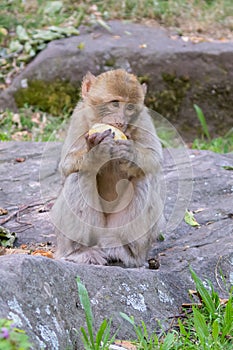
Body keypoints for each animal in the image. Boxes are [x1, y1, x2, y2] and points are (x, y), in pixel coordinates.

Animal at [51, 69, 164, 268]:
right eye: (115, 103)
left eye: (129, 107)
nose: (120, 122)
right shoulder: (78, 116)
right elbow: (66, 166)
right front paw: (95, 153)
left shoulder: (143, 119)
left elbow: (154, 159)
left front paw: (130, 154)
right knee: (79, 175)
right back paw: (80, 251)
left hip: (117, 231)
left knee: (143, 178)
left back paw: (124, 252)